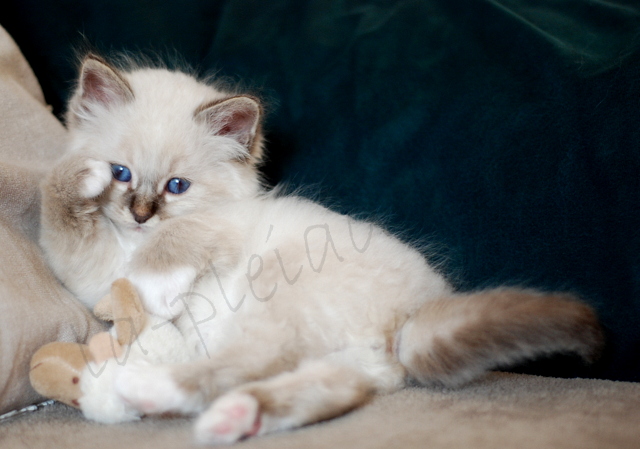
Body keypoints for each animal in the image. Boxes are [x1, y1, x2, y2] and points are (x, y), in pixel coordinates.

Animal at [38, 54, 600, 442]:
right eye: (122, 174)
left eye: (177, 187)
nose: (139, 214)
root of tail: (412, 316)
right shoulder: (89, 270)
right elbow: (57, 208)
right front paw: (79, 176)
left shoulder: (221, 226)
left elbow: (177, 240)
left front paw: (154, 290)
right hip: (341, 358)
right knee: (322, 388)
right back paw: (236, 417)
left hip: (274, 288)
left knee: (250, 360)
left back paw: (146, 387)